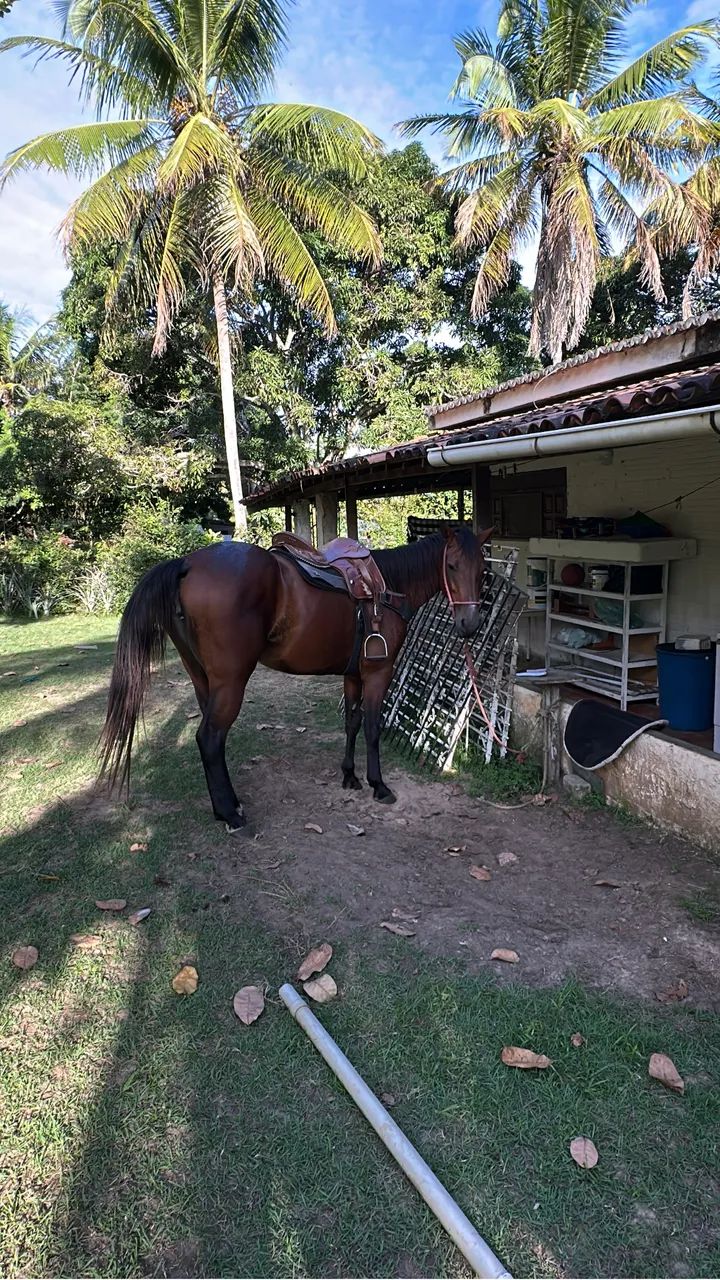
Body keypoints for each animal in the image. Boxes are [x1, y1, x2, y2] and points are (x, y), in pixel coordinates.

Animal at [101, 524, 491, 831]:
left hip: (202, 679)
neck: (387, 587)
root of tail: (186, 563)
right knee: (210, 738)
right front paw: (378, 785)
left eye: (482, 572)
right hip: (230, 682)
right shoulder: (379, 672)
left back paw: (225, 806)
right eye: (452, 565)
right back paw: (232, 814)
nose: (469, 625)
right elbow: (372, 727)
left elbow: (351, 723)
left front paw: (349, 776)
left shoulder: (353, 674)